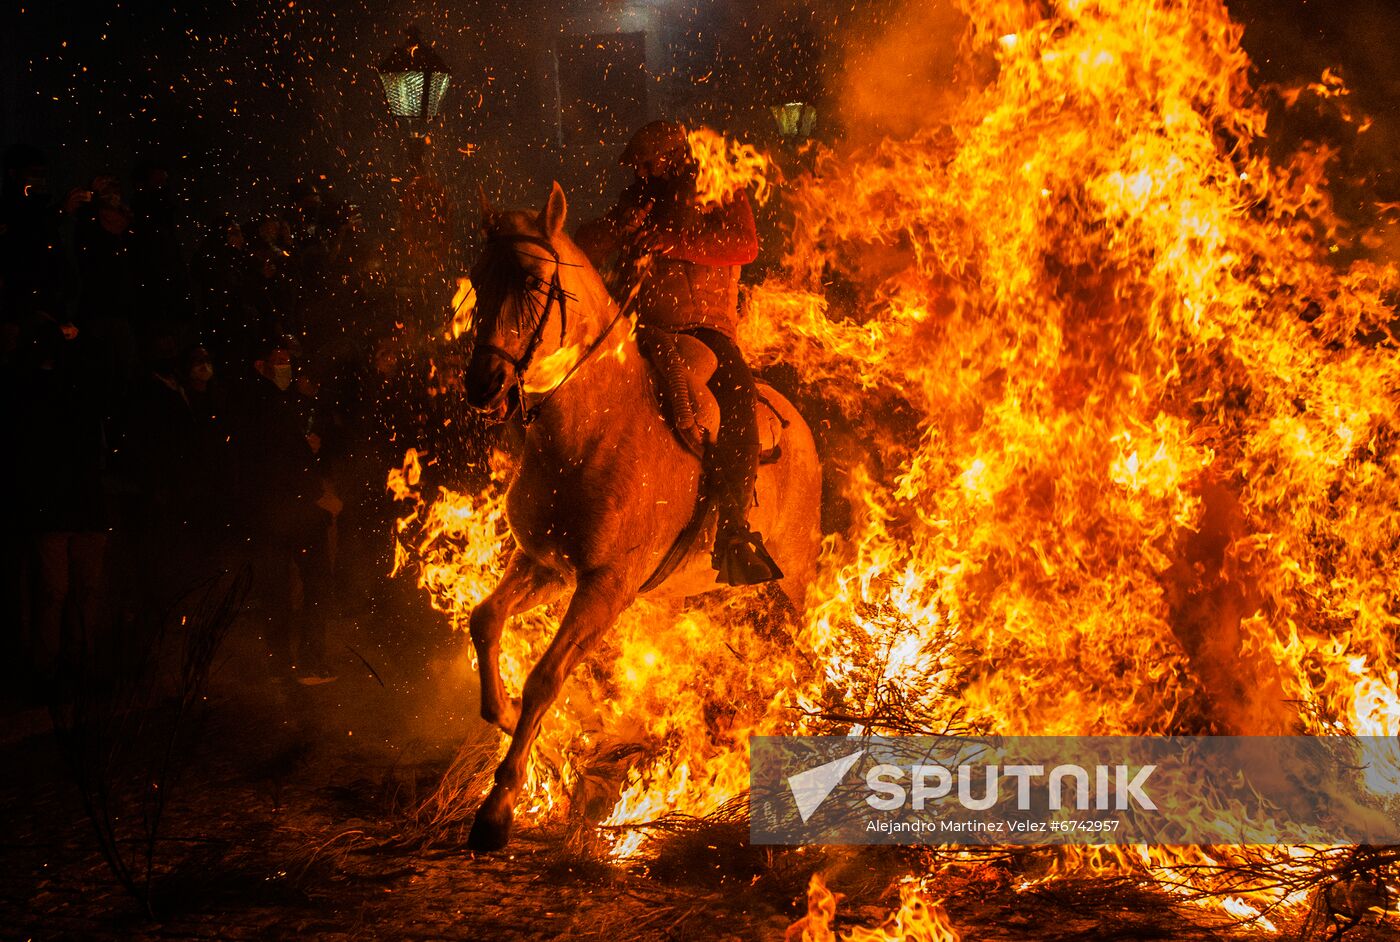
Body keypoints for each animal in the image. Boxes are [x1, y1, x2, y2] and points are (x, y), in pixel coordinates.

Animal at [459, 183, 817, 851]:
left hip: (798, 577)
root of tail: (796, 425)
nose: (483, 383)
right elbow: (485, 620)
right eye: (479, 277)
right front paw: (502, 715)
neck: (594, 426)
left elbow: (545, 678)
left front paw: (497, 807)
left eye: (532, 280)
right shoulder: (546, 565)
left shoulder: (607, 585)